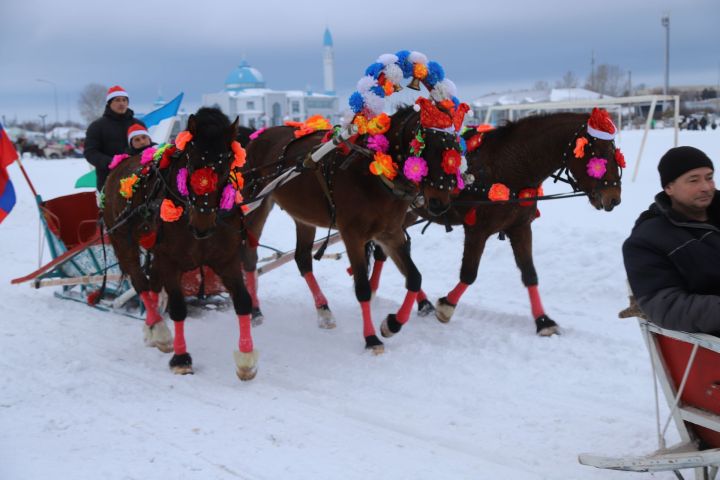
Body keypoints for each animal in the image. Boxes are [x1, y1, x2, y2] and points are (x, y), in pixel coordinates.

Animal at [101, 107, 258, 380]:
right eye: (191, 162)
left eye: (226, 164)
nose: (202, 223)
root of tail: (119, 165)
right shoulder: (171, 262)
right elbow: (177, 308)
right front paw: (181, 358)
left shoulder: (227, 260)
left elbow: (242, 301)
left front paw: (246, 359)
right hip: (123, 241)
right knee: (140, 282)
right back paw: (159, 328)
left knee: (152, 281)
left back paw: (153, 330)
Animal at [239, 105, 458, 352]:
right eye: (428, 146)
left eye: (455, 147)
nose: (440, 203)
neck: (373, 175)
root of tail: (255, 138)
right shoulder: (352, 234)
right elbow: (362, 288)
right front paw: (371, 338)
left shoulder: (390, 233)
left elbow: (414, 277)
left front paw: (392, 324)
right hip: (256, 205)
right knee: (250, 256)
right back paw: (255, 310)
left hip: (303, 218)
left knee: (302, 259)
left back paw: (323, 310)